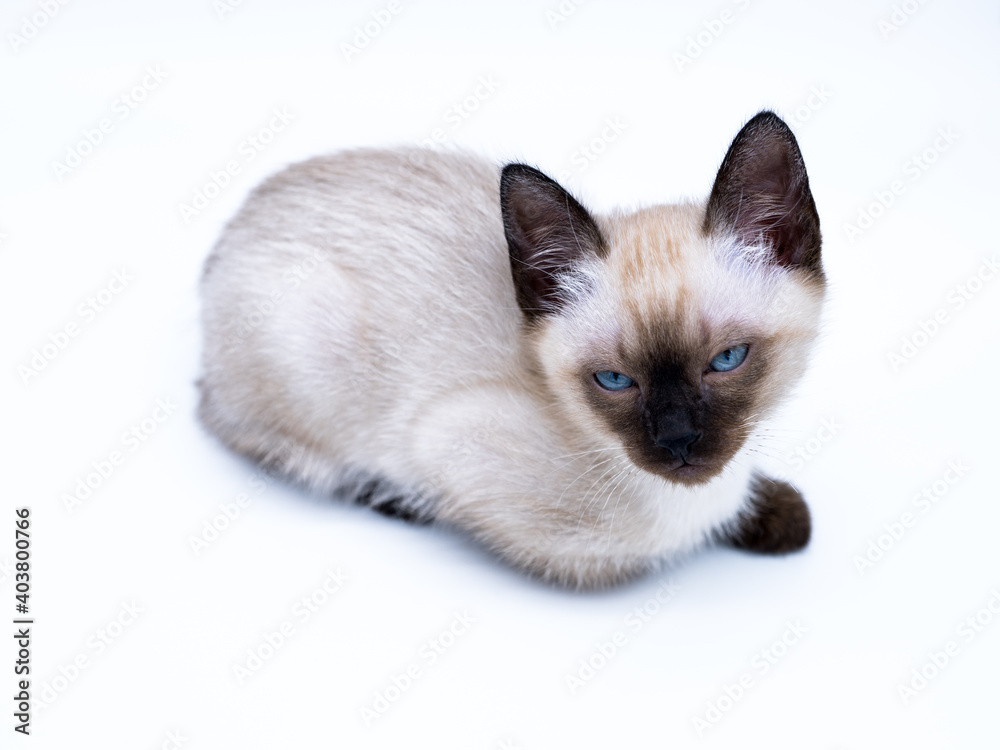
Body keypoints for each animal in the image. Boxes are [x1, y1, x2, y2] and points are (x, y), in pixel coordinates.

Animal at [199, 108, 824, 592]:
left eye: (727, 360)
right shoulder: (450, 444)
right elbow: (602, 561)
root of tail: (228, 232)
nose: (678, 443)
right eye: (614, 380)